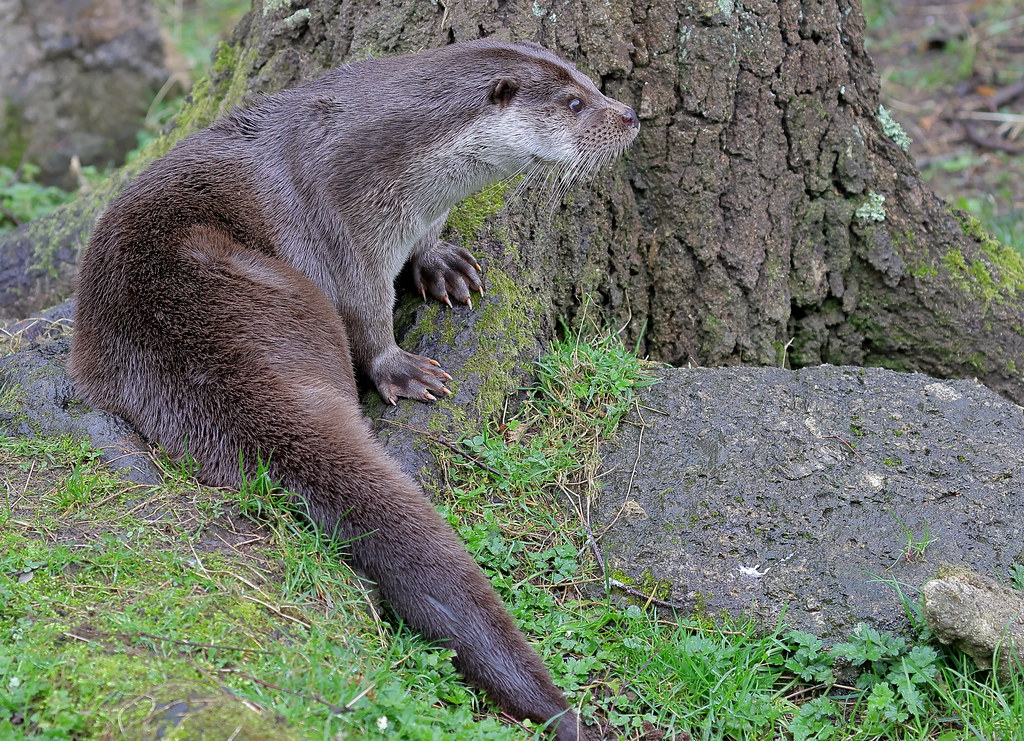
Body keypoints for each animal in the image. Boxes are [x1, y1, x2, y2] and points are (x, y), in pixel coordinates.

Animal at [69, 40, 638, 739]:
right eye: (576, 103)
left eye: (592, 81)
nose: (630, 115)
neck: (391, 169)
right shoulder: (343, 235)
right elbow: (366, 317)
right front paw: (403, 369)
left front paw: (442, 263)